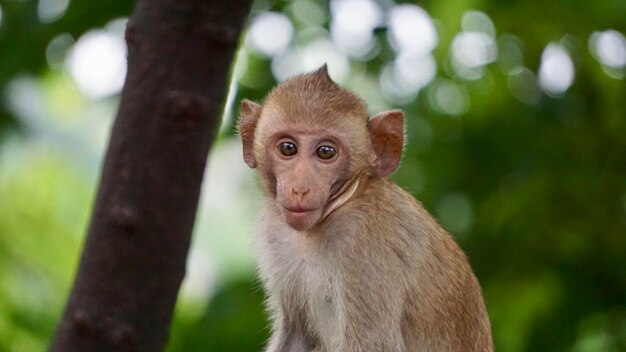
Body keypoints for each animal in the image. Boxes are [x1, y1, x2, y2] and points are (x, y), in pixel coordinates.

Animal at [236, 64, 490, 350]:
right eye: (288, 148)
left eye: (325, 152)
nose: (300, 188)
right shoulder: (276, 235)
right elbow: (297, 332)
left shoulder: (365, 245)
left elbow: (374, 342)